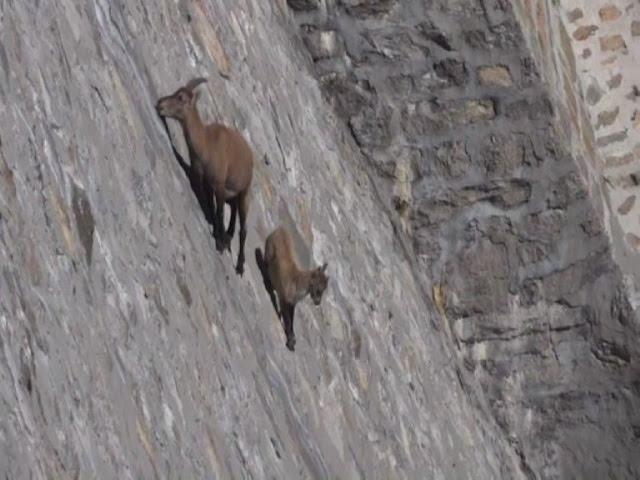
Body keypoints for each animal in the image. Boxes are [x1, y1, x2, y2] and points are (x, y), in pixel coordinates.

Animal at [156, 78, 254, 274]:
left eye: (181, 97)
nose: (160, 104)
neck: (206, 144)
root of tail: (251, 156)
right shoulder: (207, 182)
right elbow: (212, 207)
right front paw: (218, 233)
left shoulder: (219, 184)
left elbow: (220, 211)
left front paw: (219, 243)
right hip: (233, 193)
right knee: (233, 212)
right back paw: (228, 236)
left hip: (245, 192)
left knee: (244, 229)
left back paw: (239, 265)